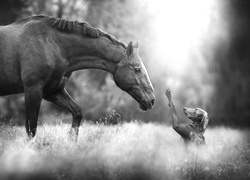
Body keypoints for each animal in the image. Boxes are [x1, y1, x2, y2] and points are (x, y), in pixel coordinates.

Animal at [0, 14, 155, 140]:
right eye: (137, 69)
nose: (152, 100)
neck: (53, 44)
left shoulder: (52, 91)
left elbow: (77, 112)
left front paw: (71, 142)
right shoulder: (33, 89)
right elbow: (31, 128)